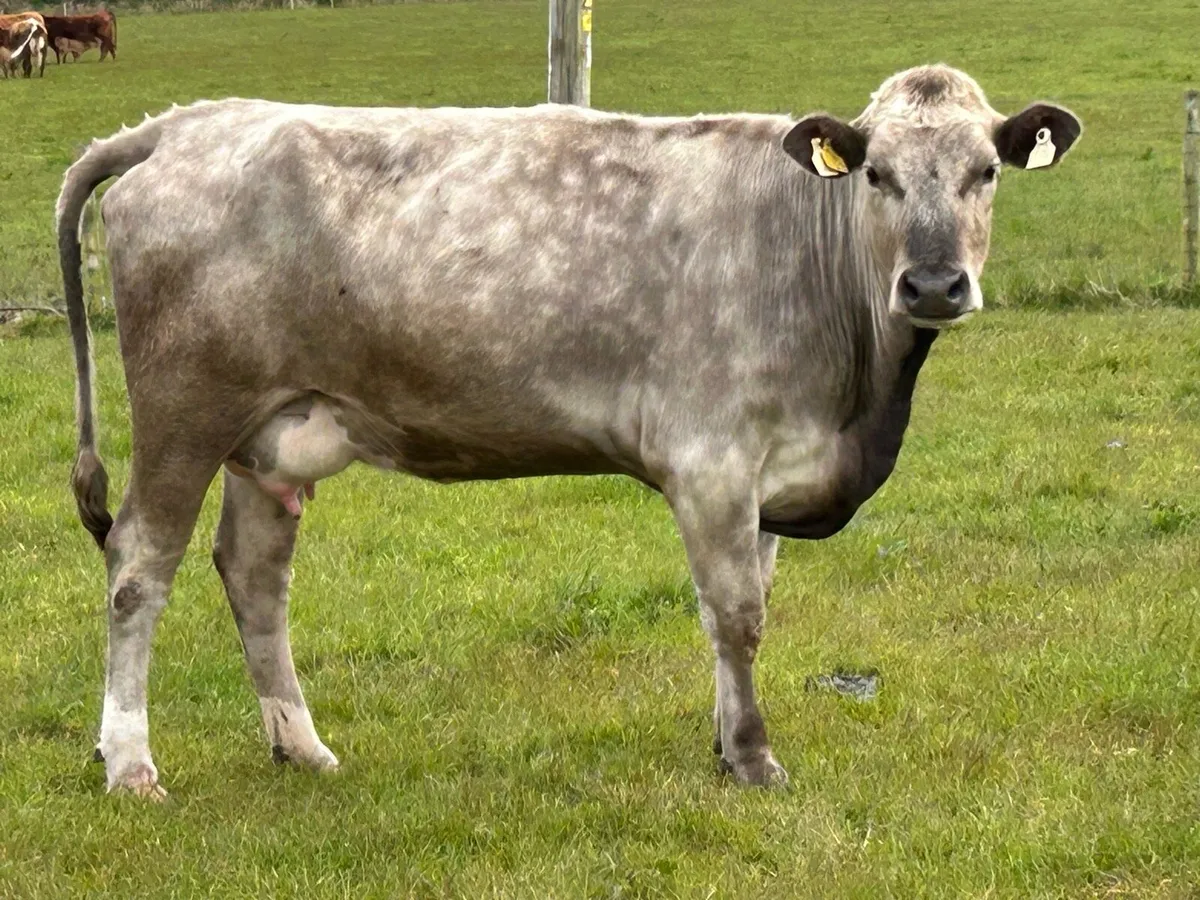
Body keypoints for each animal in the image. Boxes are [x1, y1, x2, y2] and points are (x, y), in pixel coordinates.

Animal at [56, 65, 1081, 799]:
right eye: (876, 174)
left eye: (987, 172)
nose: (935, 285)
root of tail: (186, 120)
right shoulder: (712, 460)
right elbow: (736, 615)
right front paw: (755, 760)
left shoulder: (772, 473)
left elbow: (749, 607)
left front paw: (725, 745)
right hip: (186, 410)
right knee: (139, 567)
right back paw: (130, 764)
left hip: (274, 435)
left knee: (254, 575)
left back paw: (302, 747)